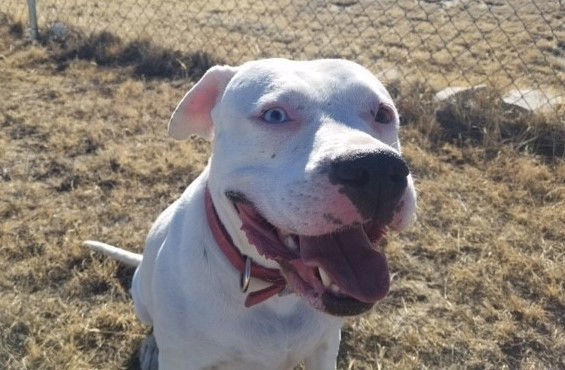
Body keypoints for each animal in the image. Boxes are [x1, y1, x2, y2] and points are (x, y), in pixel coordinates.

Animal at [86, 58, 416, 370]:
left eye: (383, 114)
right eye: (274, 115)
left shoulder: (324, 347)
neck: (275, 290)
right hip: (141, 295)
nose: (377, 168)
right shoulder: (183, 360)